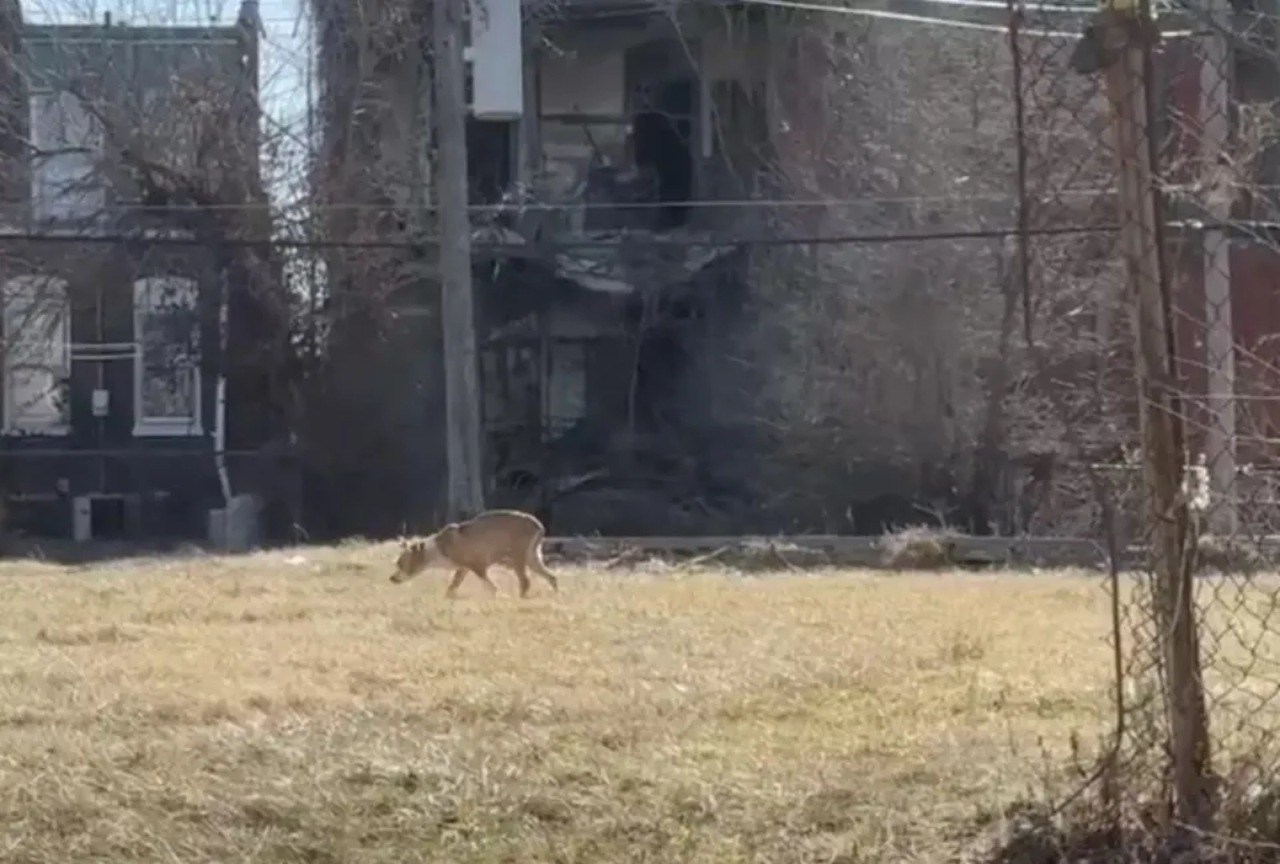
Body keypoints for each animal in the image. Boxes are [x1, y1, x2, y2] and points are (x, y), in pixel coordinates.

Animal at [389, 509, 560, 599]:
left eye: (400, 562)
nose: (392, 578)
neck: (438, 549)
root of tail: (539, 525)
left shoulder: (477, 563)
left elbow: (491, 587)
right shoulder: (463, 566)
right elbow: (453, 585)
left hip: (517, 552)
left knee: (525, 580)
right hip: (532, 554)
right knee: (550, 576)